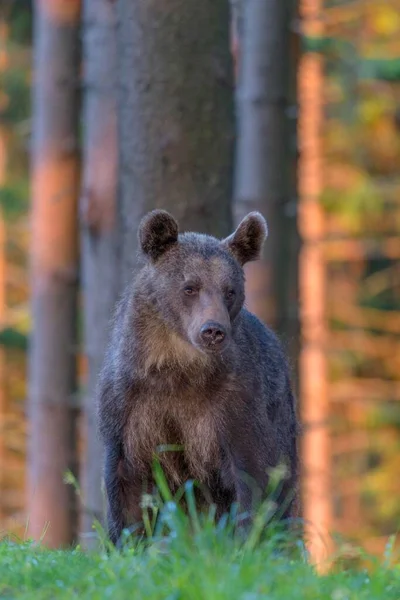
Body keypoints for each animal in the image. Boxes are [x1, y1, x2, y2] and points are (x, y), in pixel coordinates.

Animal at [97, 211, 296, 544]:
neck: (179, 370)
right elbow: (127, 486)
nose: (213, 330)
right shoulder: (130, 407)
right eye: (190, 287)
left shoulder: (235, 407)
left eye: (230, 290)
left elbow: (252, 478)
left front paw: (246, 542)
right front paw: (127, 541)